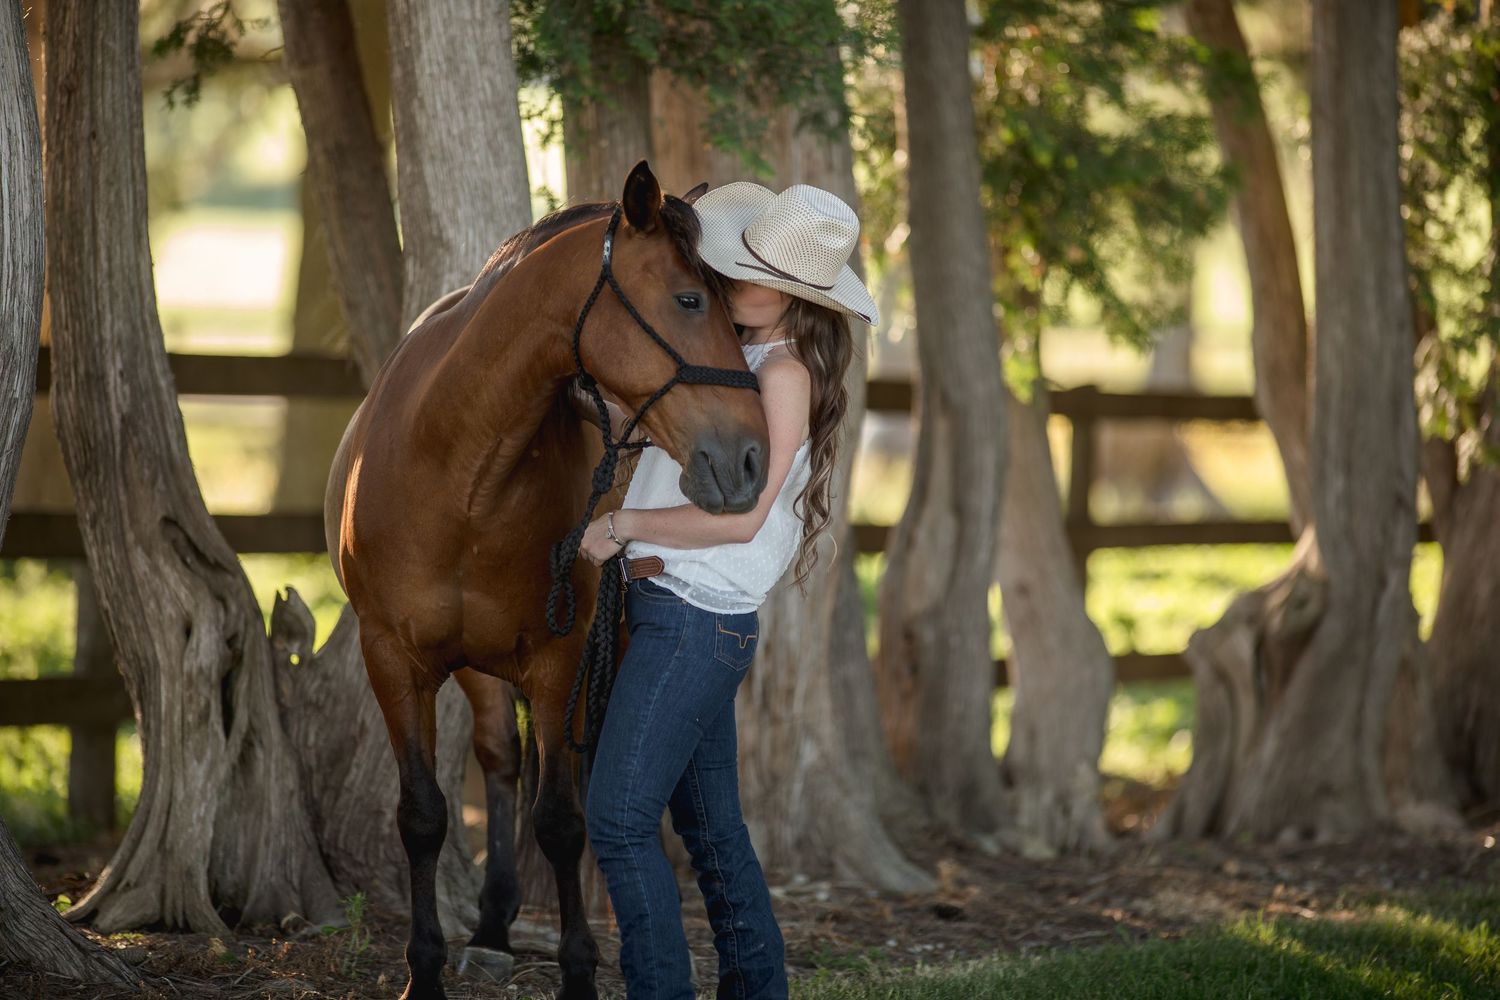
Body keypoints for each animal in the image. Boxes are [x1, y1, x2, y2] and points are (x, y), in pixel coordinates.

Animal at [324, 161, 770, 1000]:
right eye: (689, 300)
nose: (753, 458)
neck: (461, 468)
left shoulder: (560, 658)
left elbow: (563, 821)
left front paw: (579, 974)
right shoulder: (391, 657)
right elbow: (424, 815)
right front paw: (424, 973)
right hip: (480, 666)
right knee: (500, 758)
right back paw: (494, 925)